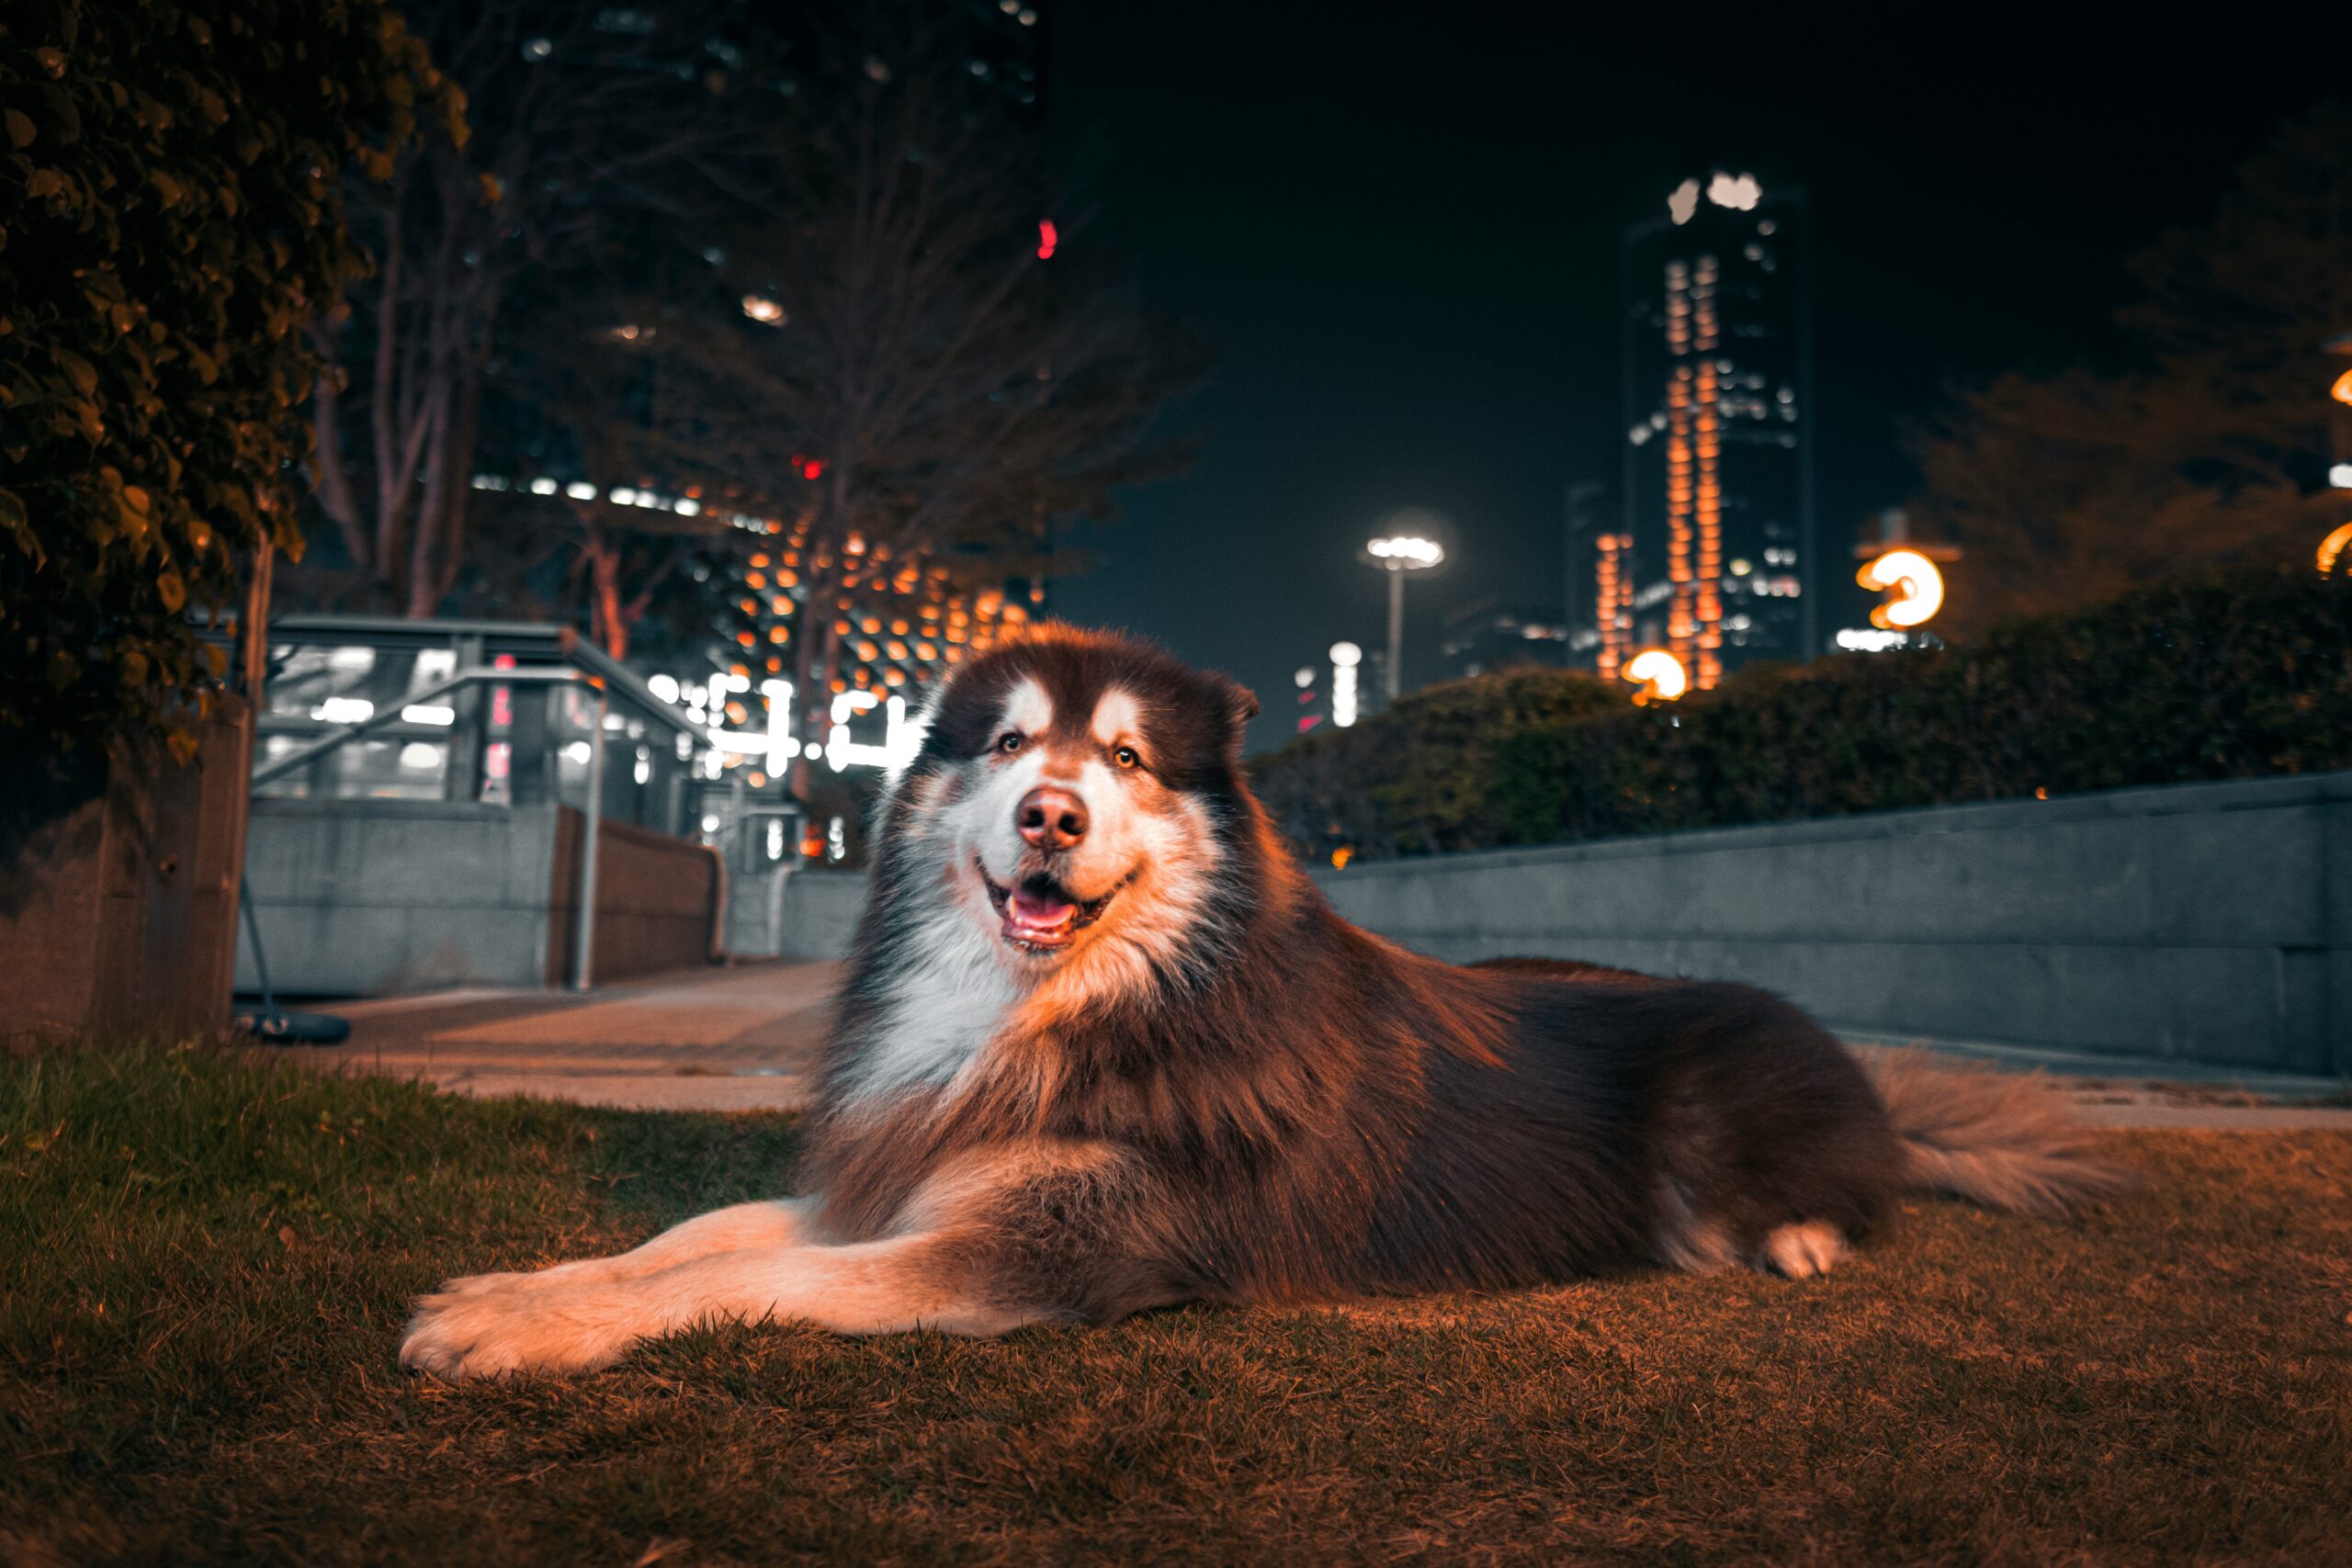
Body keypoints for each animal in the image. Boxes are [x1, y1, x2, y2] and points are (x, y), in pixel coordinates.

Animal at [404, 625, 2135, 1382]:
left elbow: (742, 1279)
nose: (1049, 815)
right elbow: (693, 1236)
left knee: (1841, 1196)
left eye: (1123, 759)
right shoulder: (907, 1170)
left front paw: (531, 1329)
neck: (1070, 1007)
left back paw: (1796, 1234)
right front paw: (522, 1286)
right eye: (1007, 744)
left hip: (1731, 1103)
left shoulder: (1044, 1250)